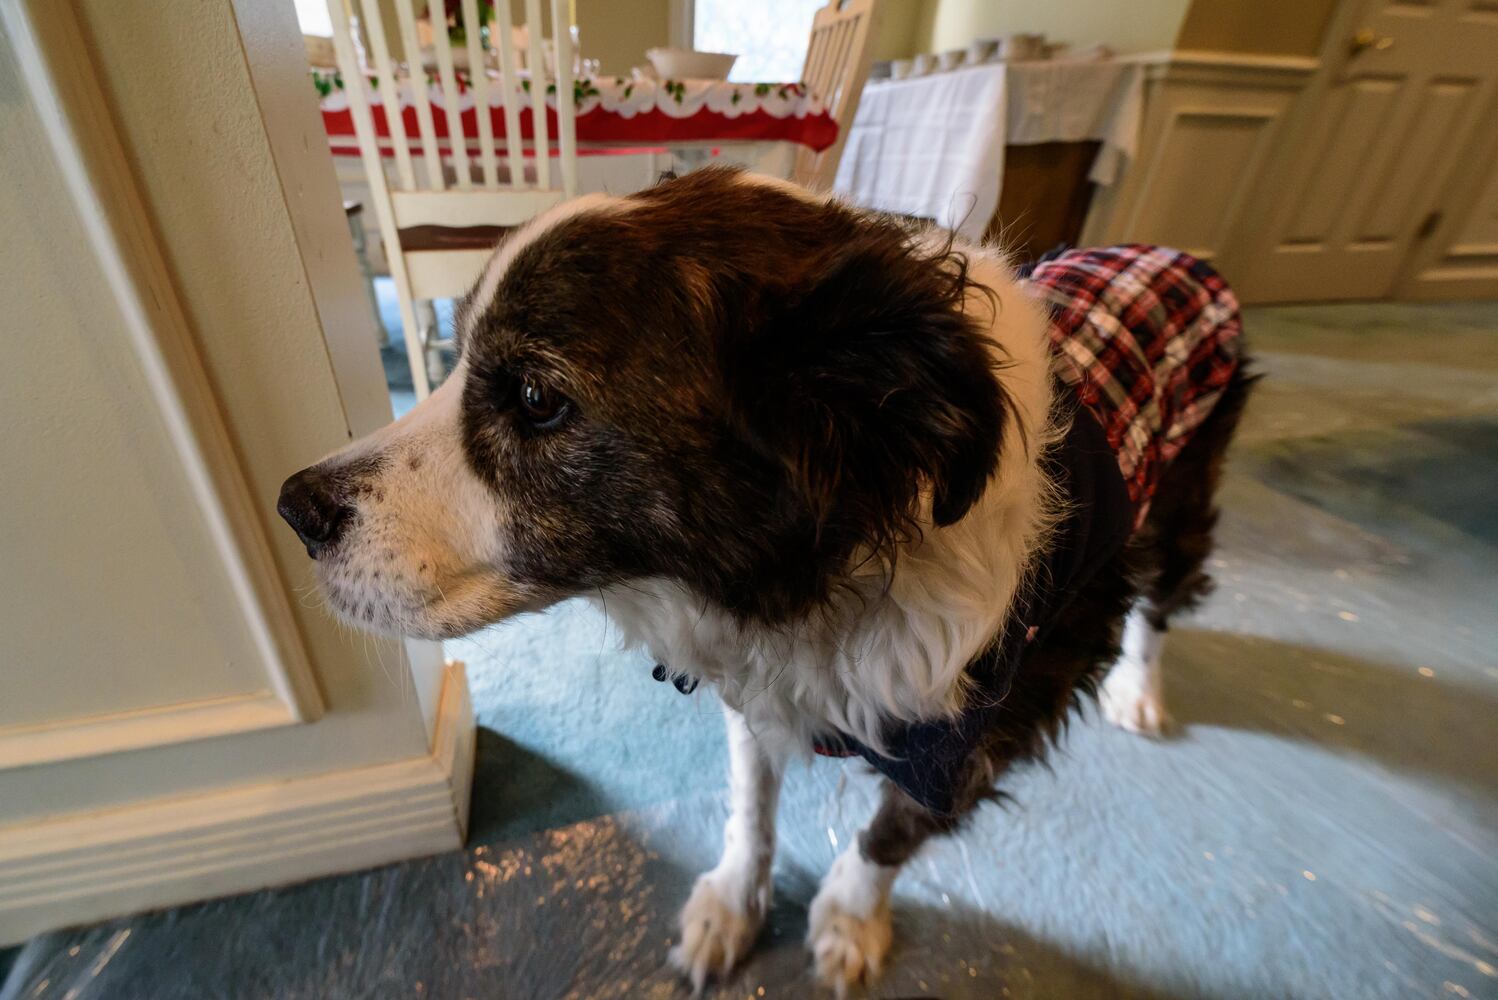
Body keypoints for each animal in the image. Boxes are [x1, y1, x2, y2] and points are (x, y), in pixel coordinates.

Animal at [278, 167, 1252, 993]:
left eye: (536, 398)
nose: (294, 508)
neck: (827, 580)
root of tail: (1181, 253)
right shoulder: (757, 677)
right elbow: (751, 798)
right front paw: (730, 903)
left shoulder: (977, 734)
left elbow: (889, 833)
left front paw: (850, 919)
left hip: (1180, 500)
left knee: (1163, 598)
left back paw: (1139, 690)